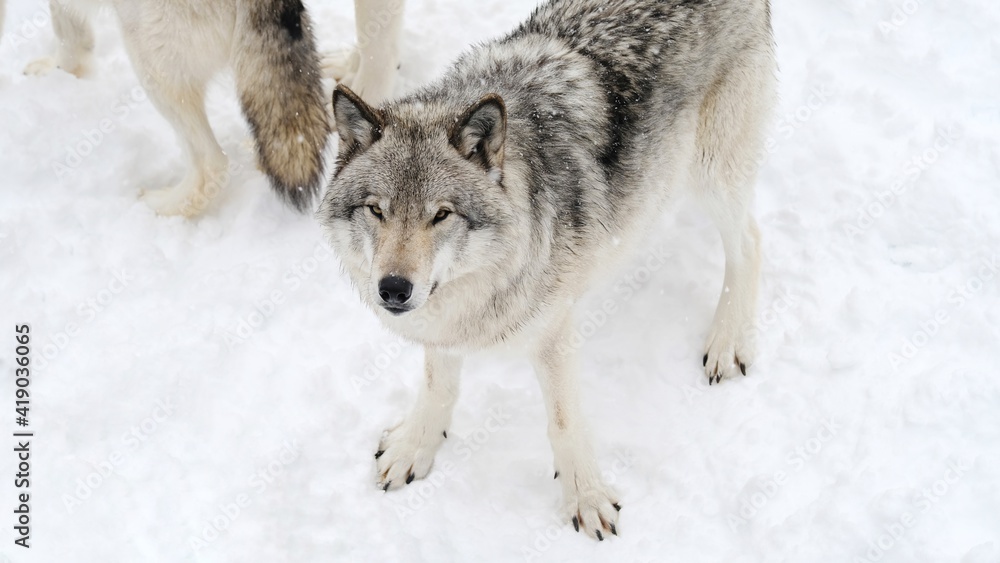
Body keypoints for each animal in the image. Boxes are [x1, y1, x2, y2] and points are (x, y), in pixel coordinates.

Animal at [319, 0, 776, 540]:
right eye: (376, 210)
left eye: (441, 215)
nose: (393, 289)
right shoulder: (443, 326)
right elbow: (437, 385)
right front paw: (416, 447)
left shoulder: (553, 332)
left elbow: (563, 423)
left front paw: (586, 499)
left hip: (710, 174)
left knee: (750, 241)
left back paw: (728, 343)